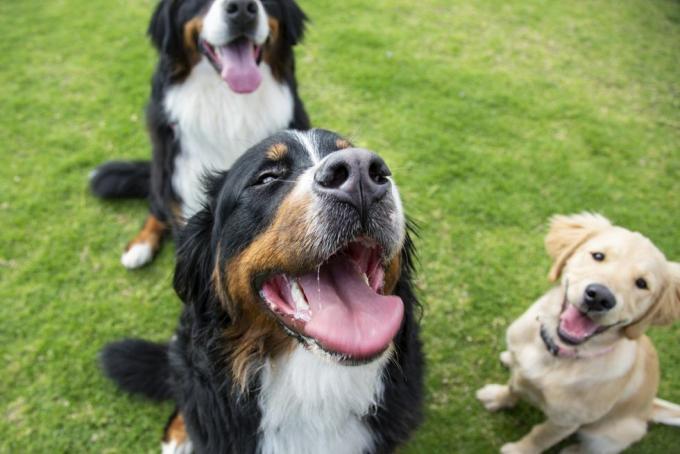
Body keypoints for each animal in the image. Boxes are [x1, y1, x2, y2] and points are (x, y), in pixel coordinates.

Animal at [476, 214, 680, 454]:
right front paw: (498, 398)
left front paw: (519, 450)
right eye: (598, 256)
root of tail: (649, 409)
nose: (600, 297)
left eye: (642, 283)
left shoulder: (566, 421)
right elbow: (512, 388)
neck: (555, 354)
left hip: (608, 435)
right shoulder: (522, 375)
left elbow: (540, 436)